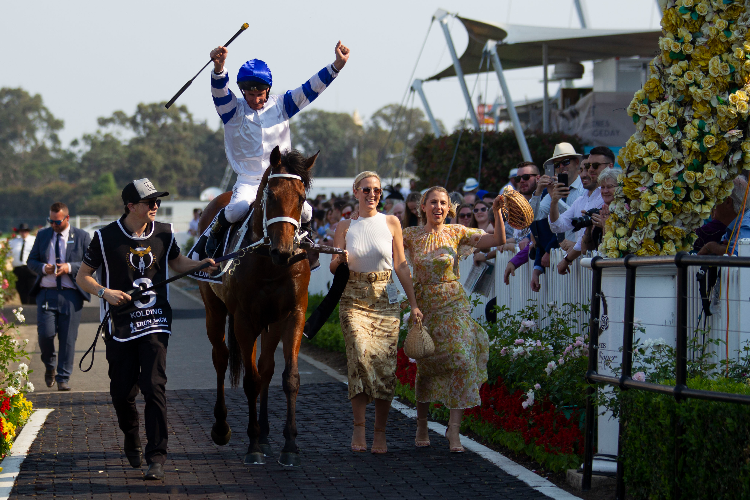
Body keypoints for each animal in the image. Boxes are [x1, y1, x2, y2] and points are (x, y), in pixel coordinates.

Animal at [198, 146, 316, 464]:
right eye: (271, 195)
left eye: (302, 198)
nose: (284, 251)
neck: (269, 264)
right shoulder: (244, 319)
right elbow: (250, 380)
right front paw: (252, 446)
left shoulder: (292, 314)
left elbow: (288, 377)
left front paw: (288, 444)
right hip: (215, 310)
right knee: (221, 357)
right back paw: (222, 427)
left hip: (270, 321)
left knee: (266, 367)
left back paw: (264, 436)